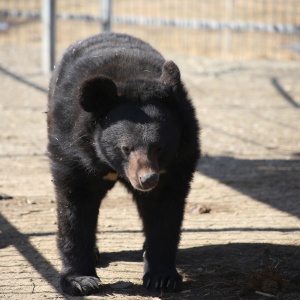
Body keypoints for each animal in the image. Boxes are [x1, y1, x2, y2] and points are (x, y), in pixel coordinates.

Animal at [47, 32, 199, 296]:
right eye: (126, 148)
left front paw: (163, 278)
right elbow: (74, 207)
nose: (147, 179)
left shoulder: (178, 160)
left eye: (159, 147)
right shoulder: (73, 149)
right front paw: (81, 281)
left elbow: (164, 210)